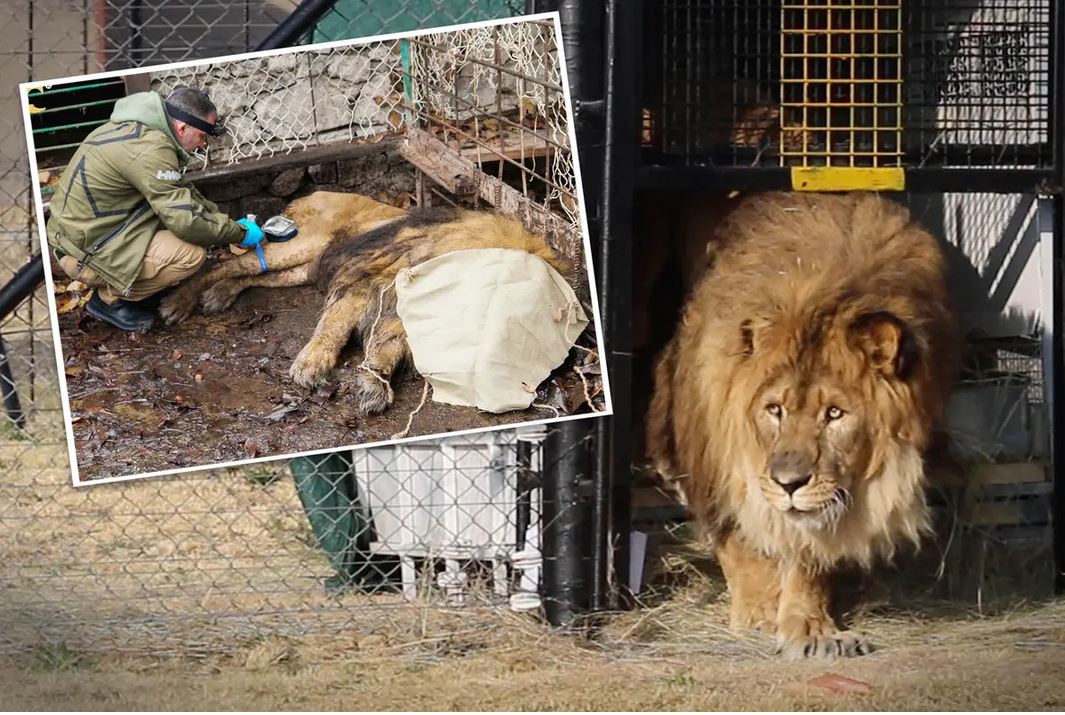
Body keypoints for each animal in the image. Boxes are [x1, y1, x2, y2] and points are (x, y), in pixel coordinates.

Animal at [159, 191, 566, 414]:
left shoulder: (395, 312)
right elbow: (335, 327)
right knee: (229, 263)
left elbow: (386, 346)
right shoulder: (366, 284)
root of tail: (310, 194)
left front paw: (373, 384)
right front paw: (310, 366)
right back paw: (179, 301)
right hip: (299, 245)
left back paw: (220, 294)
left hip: (303, 267)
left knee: (251, 273)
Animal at [646, 192, 959, 658]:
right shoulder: (713, 454)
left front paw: (810, 627)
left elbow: (808, 552)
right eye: (775, 409)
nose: (789, 483)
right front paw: (757, 612)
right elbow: (740, 538)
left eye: (834, 414)